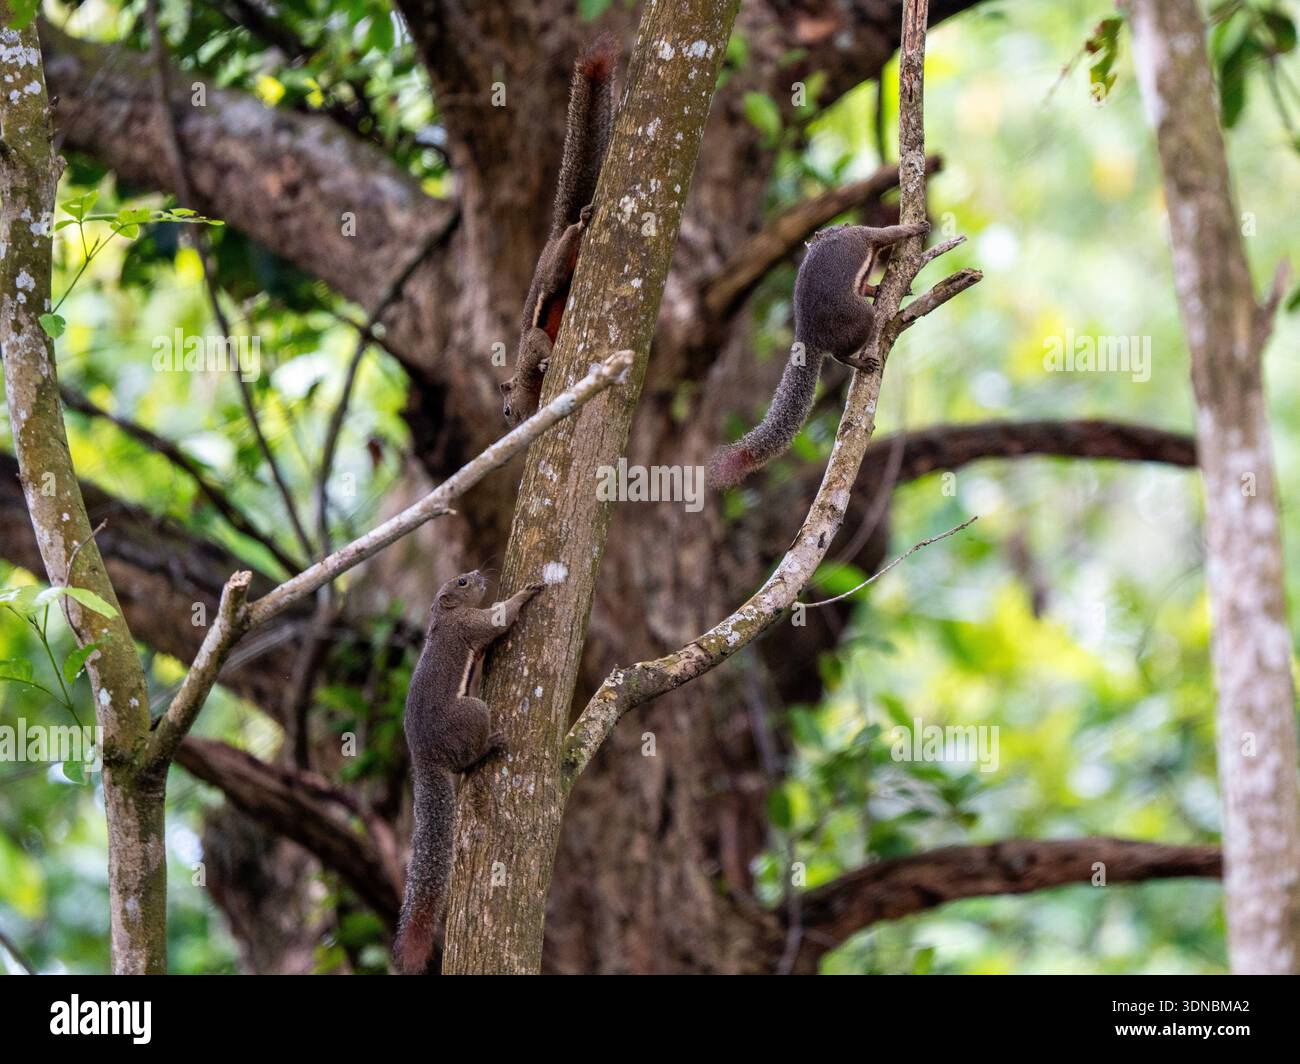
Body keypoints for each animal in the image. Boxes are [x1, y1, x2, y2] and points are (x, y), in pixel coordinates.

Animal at [392, 570, 544, 975]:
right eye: (461, 582)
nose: (479, 574)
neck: (443, 616)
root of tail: (424, 759)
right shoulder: (468, 624)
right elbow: (498, 620)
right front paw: (524, 594)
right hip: (471, 713)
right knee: (466, 759)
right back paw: (489, 745)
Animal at [500, 34, 619, 427]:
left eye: (507, 410)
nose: (519, 426)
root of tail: (553, 235)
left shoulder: (529, 345)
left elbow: (537, 342)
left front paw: (547, 361)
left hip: (554, 265)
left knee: (562, 260)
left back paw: (580, 223)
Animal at [707, 221, 930, 488]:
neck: (836, 232)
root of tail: (808, 335)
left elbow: (867, 282)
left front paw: (876, 288)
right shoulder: (865, 233)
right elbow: (889, 232)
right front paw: (916, 227)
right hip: (859, 317)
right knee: (839, 353)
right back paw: (860, 362)